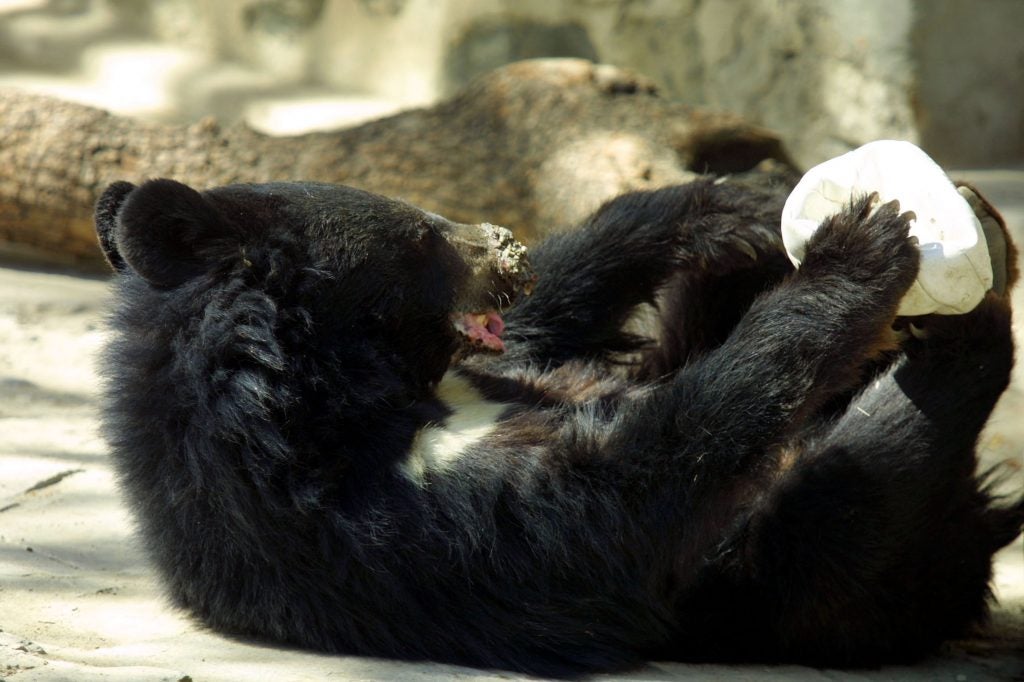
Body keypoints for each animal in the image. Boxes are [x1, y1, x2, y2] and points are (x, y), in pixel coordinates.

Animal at [96, 175, 1024, 675]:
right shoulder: (373, 522)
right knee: (853, 492)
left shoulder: (500, 366)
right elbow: (619, 499)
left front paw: (736, 209)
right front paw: (859, 245)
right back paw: (963, 328)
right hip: (809, 580)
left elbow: (554, 322)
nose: (508, 244)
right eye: (423, 235)